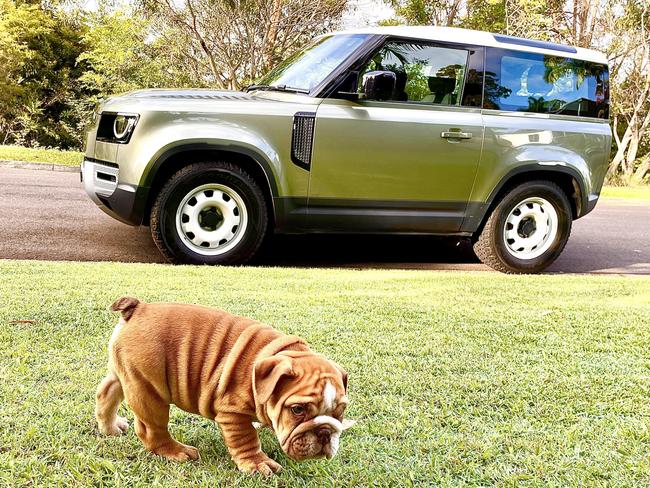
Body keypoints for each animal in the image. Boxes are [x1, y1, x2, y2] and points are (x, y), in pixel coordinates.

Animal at [93, 298, 352, 472]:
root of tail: (138, 307)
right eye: (297, 410)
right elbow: (246, 439)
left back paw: (111, 428)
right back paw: (177, 452)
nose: (325, 432)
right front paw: (258, 464)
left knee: (106, 393)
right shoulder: (232, 413)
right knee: (151, 429)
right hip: (149, 390)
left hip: (126, 371)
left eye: (340, 412)